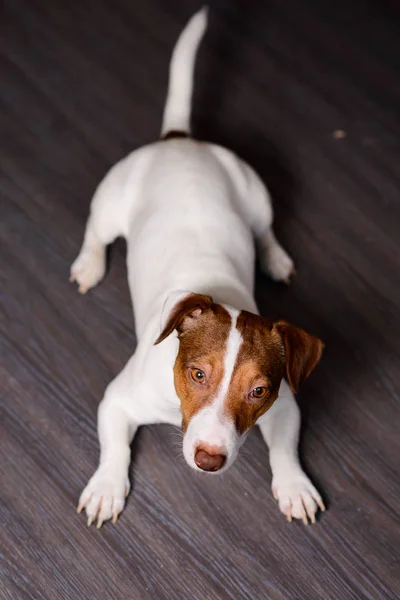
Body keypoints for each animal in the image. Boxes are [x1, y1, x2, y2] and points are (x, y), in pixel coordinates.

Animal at [71, 7, 324, 528]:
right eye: (198, 374)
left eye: (259, 390)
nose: (209, 458)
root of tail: (179, 141)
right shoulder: (117, 401)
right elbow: (114, 448)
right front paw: (106, 487)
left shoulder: (286, 409)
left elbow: (285, 450)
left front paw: (294, 485)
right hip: (109, 206)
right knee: (95, 232)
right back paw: (89, 263)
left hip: (256, 196)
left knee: (266, 229)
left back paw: (275, 257)